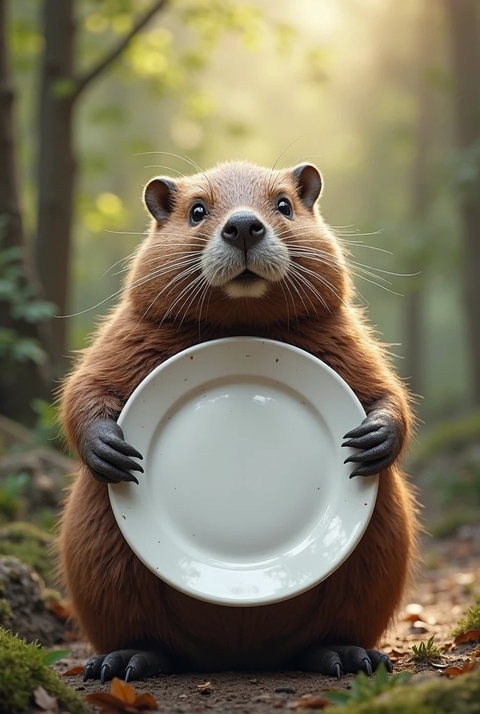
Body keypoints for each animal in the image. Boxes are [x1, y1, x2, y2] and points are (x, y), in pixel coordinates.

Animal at [58, 161, 418, 683]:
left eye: (285, 204)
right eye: (197, 210)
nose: (244, 225)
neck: (242, 317)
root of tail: (238, 656)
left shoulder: (344, 335)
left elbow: (386, 391)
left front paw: (376, 437)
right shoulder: (128, 331)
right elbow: (84, 389)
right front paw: (107, 448)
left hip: (377, 543)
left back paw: (349, 655)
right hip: (98, 546)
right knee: (147, 633)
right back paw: (124, 660)